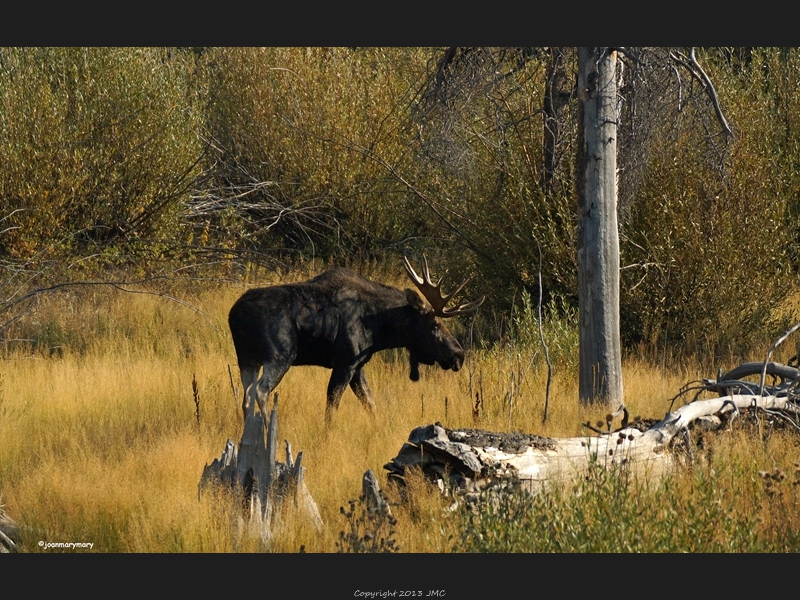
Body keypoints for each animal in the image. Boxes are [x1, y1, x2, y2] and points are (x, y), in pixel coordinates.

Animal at [228, 255, 484, 424]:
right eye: (435, 325)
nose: (458, 355)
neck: (379, 328)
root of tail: (235, 314)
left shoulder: (358, 366)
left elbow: (370, 403)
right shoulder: (345, 363)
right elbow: (332, 407)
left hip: (247, 359)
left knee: (246, 397)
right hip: (279, 356)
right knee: (260, 391)